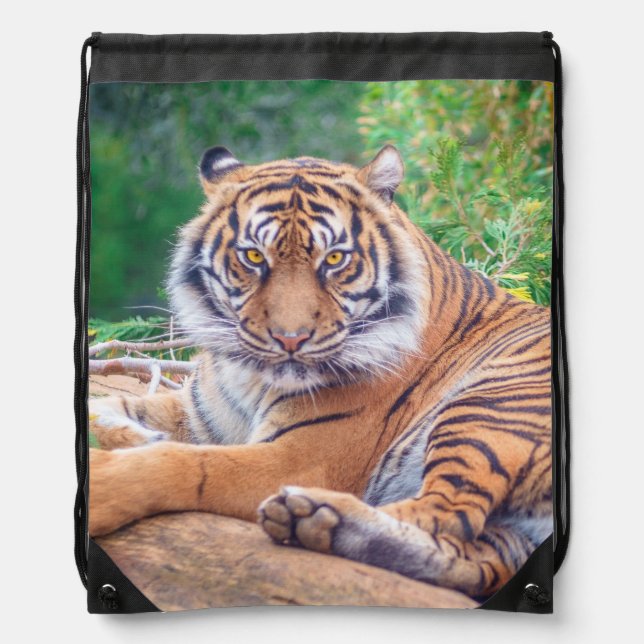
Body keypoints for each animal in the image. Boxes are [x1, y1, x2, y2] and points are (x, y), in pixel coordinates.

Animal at [88, 144, 552, 600]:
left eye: (334, 259)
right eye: (254, 256)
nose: (290, 339)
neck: (250, 376)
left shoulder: (298, 459)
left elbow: (187, 464)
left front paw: (103, 486)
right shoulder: (198, 413)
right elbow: (108, 405)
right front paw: (135, 435)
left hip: (488, 406)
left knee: (448, 513)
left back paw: (316, 511)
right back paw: (315, 522)